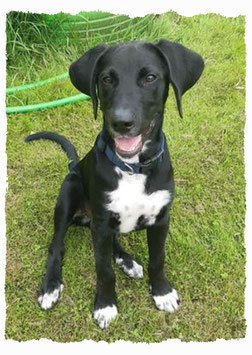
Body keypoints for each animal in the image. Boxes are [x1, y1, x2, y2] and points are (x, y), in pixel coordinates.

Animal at [25, 39, 204, 330]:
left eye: (150, 78)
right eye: (106, 79)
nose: (121, 122)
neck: (132, 169)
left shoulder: (160, 218)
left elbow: (157, 260)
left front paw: (162, 292)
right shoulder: (101, 223)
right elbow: (104, 270)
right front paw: (106, 305)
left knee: (113, 241)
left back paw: (127, 261)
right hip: (68, 194)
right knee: (57, 246)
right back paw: (50, 286)